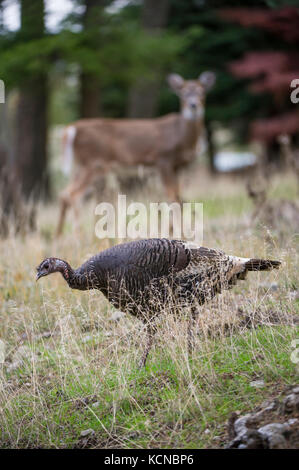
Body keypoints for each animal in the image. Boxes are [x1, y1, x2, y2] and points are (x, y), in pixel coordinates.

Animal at [56, 71, 216, 235]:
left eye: (202, 92)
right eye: (183, 93)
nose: (193, 105)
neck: (182, 136)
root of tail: (71, 129)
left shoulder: (177, 166)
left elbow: (177, 196)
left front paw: (173, 230)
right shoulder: (163, 160)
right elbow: (173, 197)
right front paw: (178, 232)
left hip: (81, 165)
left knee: (63, 193)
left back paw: (59, 236)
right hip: (93, 163)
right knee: (72, 194)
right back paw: (79, 235)